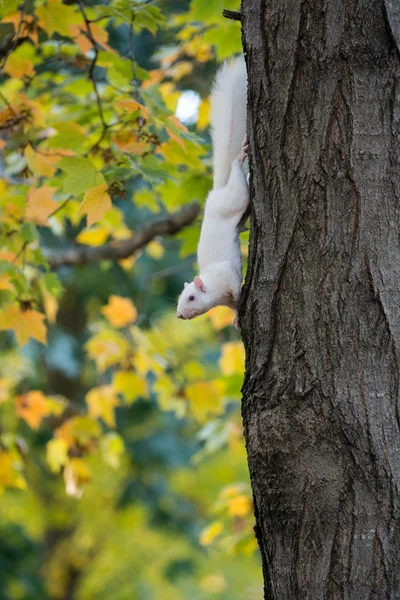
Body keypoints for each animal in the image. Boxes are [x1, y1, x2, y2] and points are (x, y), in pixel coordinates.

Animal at [177, 58, 248, 326]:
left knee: (239, 176)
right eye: (180, 298)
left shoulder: (226, 274)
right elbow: (233, 306)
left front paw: (242, 297)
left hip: (236, 198)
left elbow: (235, 287)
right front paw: (237, 317)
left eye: (192, 298)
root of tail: (217, 192)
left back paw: (240, 160)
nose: (179, 314)